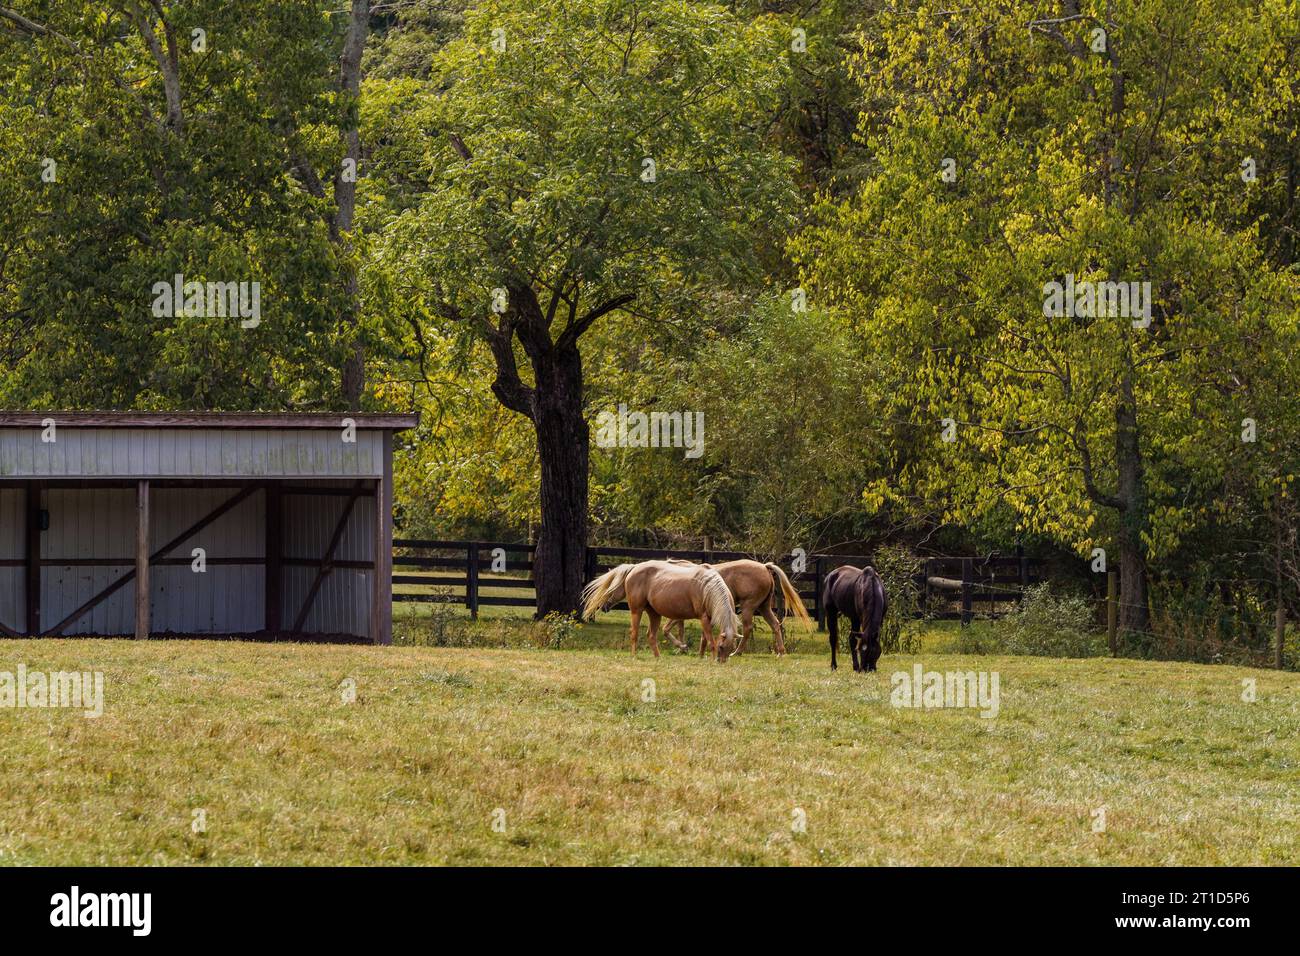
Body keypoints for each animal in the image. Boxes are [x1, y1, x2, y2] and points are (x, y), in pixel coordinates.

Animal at [581, 560, 741, 662]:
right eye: (721, 647)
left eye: (731, 648)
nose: (721, 663)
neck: (707, 587)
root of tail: (634, 567)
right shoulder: (703, 618)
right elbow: (710, 641)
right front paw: (710, 658)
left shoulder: (708, 619)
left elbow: (705, 639)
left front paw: (700, 656)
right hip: (636, 610)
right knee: (634, 633)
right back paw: (634, 656)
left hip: (654, 614)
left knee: (651, 636)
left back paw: (659, 658)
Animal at [661, 559, 812, 656]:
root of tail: (764, 567)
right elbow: (683, 631)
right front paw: (688, 649)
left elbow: (667, 629)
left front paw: (683, 647)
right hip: (764, 607)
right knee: (775, 625)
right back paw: (780, 652)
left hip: (748, 607)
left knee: (747, 628)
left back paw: (737, 652)